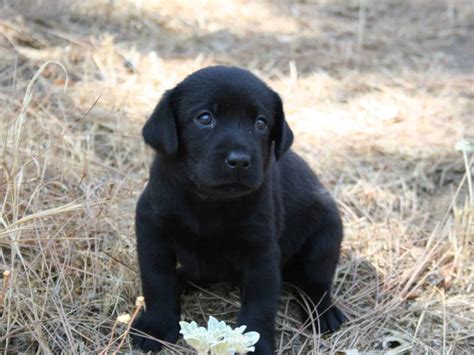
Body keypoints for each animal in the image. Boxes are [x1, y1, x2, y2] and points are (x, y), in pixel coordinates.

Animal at [131, 66, 346, 354]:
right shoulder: (152, 229)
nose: (240, 161)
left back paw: (323, 312)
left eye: (261, 123)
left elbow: (259, 303)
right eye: (205, 118)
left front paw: (254, 344)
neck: (209, 202)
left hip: (327, 234)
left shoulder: (261, 251)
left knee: (315, 281)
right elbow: (157, 280)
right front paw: (155, 326)